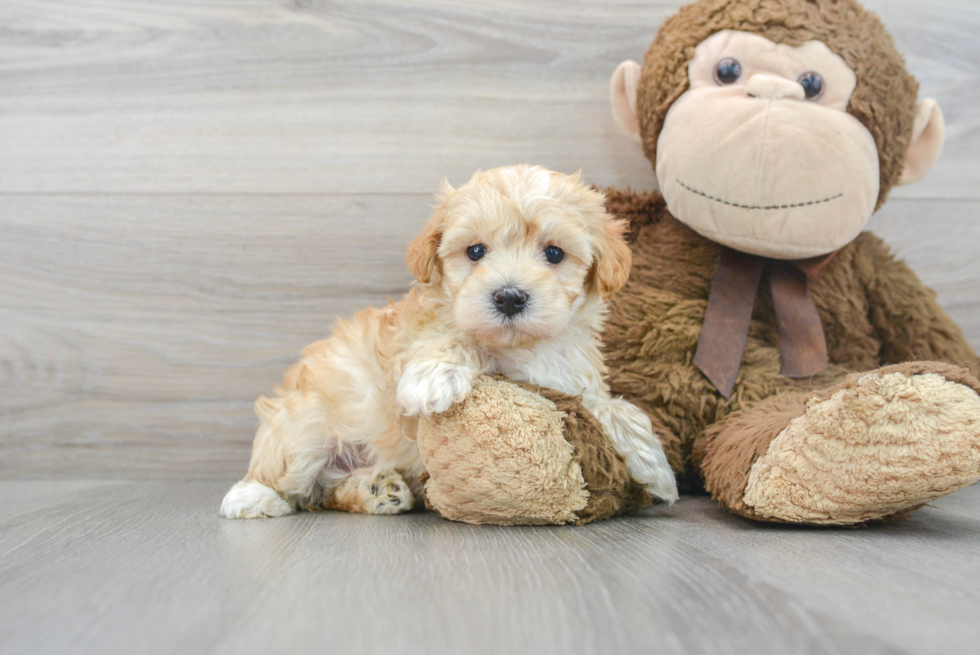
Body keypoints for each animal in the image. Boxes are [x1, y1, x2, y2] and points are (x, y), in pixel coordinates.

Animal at [220, 167, 680, 520]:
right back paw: (253, 496)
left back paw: (377, 490)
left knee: (329, 494)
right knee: (292, 480)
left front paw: (654, 464)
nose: (509, 297)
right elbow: (455, 337)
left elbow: (607, 406)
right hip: (307, 426)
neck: (521, 347)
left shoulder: (570, 377)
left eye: (554, 253)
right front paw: (434, 377)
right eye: (475, 251)